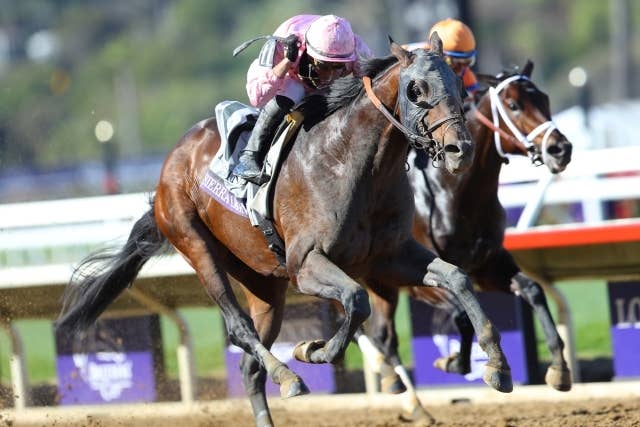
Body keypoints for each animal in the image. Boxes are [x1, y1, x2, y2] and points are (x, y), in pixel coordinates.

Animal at [57, 35, 512, 427]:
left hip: (263, 283)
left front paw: (497, 367)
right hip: (195, 244)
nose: (459, 150)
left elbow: (457, 278)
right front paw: (313, 349)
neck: (350, 163)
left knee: (248, 363)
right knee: (239, 329)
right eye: (416, 89)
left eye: (456, 82)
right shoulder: (307, 264)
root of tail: (169, 166)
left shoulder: (391, 256)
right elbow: (356, 299)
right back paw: (288, 374)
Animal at [356, 61, 574, 422]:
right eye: (513, 105)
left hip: (380, 284)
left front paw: (559, 369)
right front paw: (454, 361)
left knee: (382, 335)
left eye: (543, 98)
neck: (455, 191)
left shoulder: (486, 265)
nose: (560, 148)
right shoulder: (417, 278)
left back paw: (406, 396)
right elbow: (460, 316)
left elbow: (532, 290)